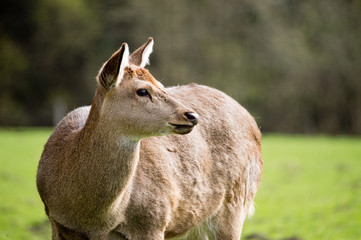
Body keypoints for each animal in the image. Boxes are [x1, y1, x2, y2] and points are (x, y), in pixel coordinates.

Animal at [36, 38, 262, 239]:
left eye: (161, 84)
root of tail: (251, 120)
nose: (192, 115)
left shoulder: (153, 221)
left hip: (236, 201)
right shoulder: (56, 222)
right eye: (142, 90)